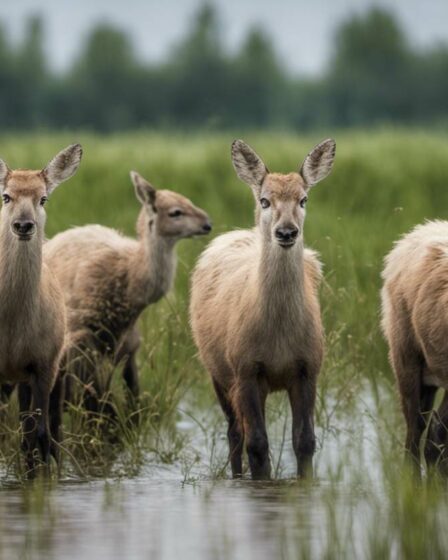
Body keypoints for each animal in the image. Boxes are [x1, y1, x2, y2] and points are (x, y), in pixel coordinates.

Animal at [0, 142, 83, 470]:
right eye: (6, 195)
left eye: (43, 198)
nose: (23, 225)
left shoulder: (45, 362)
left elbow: (41, 437)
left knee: (43, 432)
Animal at [44, 172, 213, 416]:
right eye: (175, 212)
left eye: (189, 201)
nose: (208, 225)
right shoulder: (82, 340)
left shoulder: (125, 344)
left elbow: (127, 397)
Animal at [190, 138, 336, 480]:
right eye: (265, 200)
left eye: (303, 199)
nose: (286, 232)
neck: (278, 338)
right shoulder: (244, 366)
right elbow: (256, 443)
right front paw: (260, 482)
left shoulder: (308, 365)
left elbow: (305, 440)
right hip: (217, 369)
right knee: (235, 432)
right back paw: (236, 476)